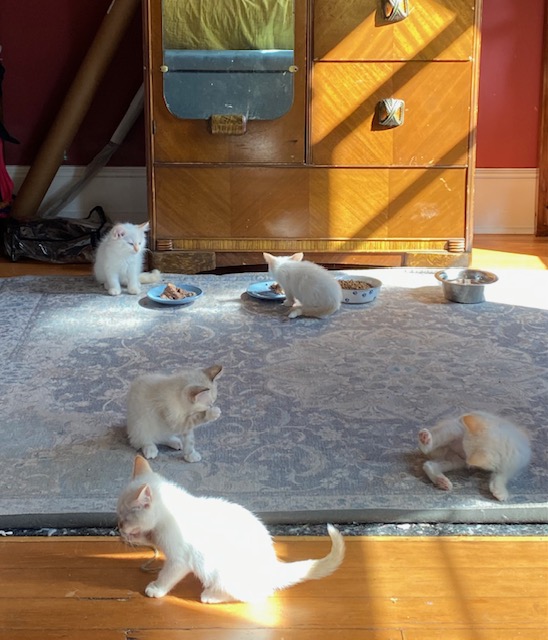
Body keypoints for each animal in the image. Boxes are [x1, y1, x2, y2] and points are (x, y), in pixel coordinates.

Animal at [117, 458, 344, 604]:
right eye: (118, 515)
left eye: (125, 517)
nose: (119, 526)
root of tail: (271, 567)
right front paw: (133, 537)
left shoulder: (179, 560)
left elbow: (167, 575)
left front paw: (157, 588)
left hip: (221, 573)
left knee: (256, 595)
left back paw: (212, 595)